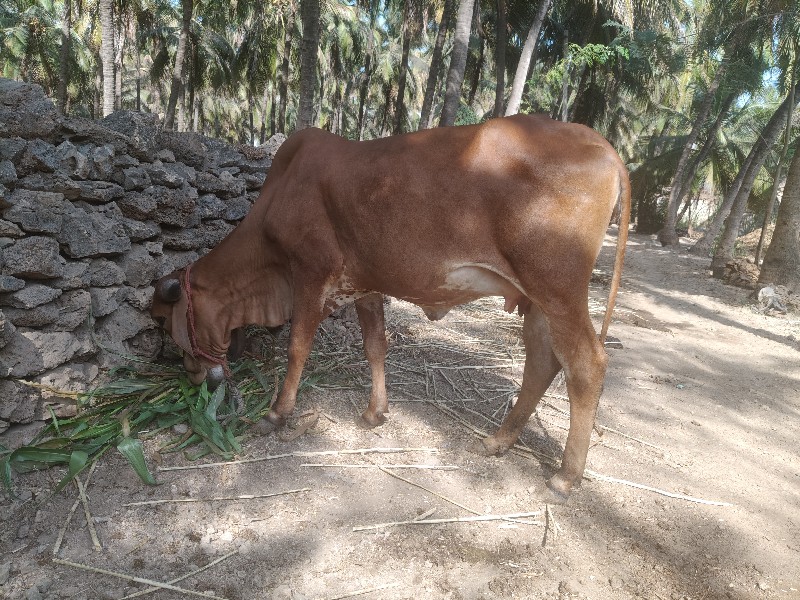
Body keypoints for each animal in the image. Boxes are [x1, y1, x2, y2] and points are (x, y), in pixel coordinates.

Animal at [152, 115, 632, 500]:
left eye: (163, 323)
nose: (193, 377)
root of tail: (602, 144)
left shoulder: (310, 273)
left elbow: (297, 348)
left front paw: (276, 414)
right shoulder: (365, 284)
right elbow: (375, 347)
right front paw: (375, 412)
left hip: (557, 289)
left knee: (586, 365)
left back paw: (565, 477)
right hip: (536, 300)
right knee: (542, 362)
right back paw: (499, 441)